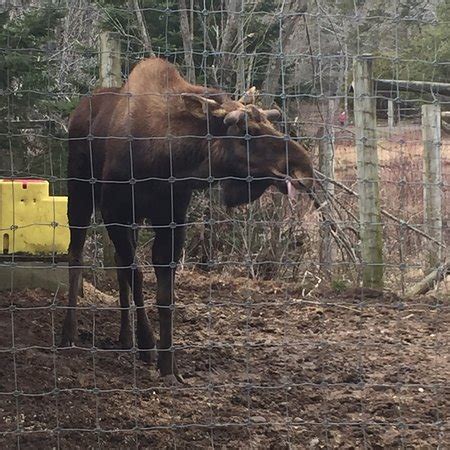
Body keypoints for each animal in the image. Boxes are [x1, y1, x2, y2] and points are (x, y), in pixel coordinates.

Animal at [62, 58, 312, 382]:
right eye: (246, 132)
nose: (304, 168)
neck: (169, 161)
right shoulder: (114, 212)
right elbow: (137, 276)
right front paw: (148, 345)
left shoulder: (171, 218)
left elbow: (164, 293)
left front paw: (168, 364)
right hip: (79, 192)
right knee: (76, 255)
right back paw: (69, 333)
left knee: (117, 264)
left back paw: (125, 336)